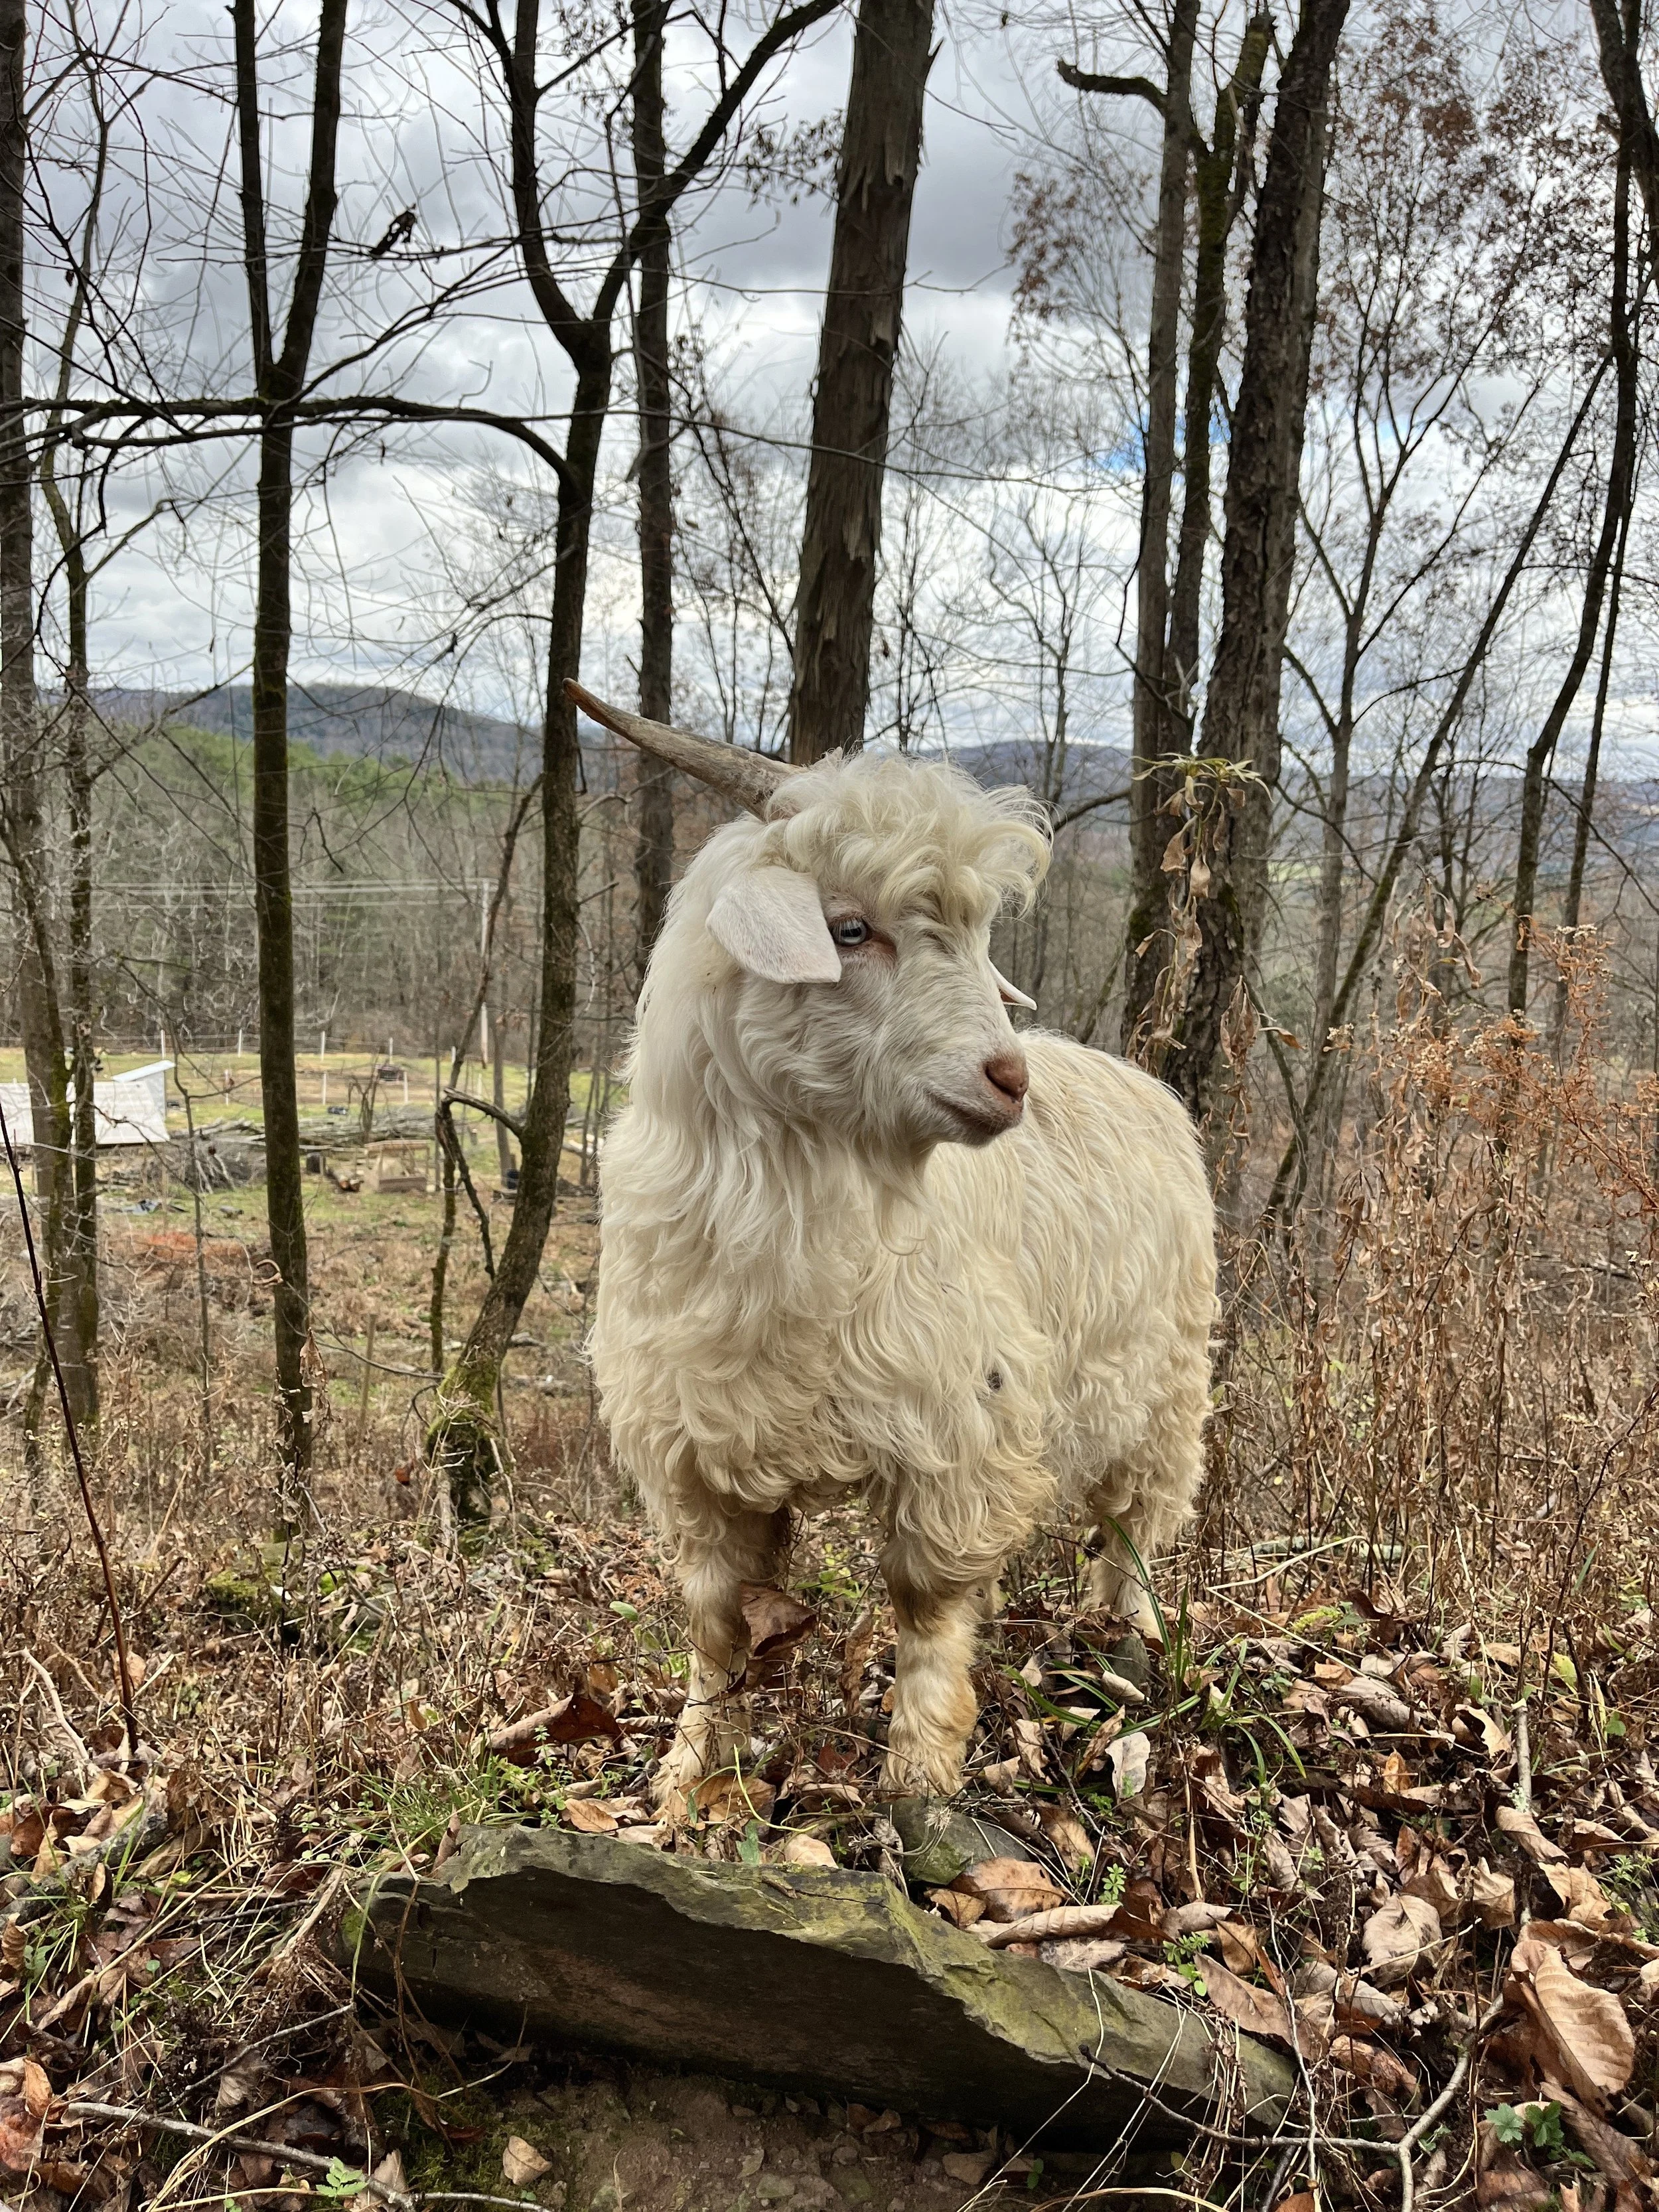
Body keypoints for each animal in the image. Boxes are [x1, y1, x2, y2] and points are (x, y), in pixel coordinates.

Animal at [573, 682, 1216, 1806]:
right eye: (850, 928)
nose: (1008, 1078)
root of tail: (1141, 1082)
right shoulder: (694, 1450)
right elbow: (718, 1622)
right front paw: (691, 1774)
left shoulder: (958, 1422)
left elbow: (927, 1605)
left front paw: (921, 1771)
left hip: (1169, 1389)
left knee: (1135, 1528)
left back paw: (1126, 1636)